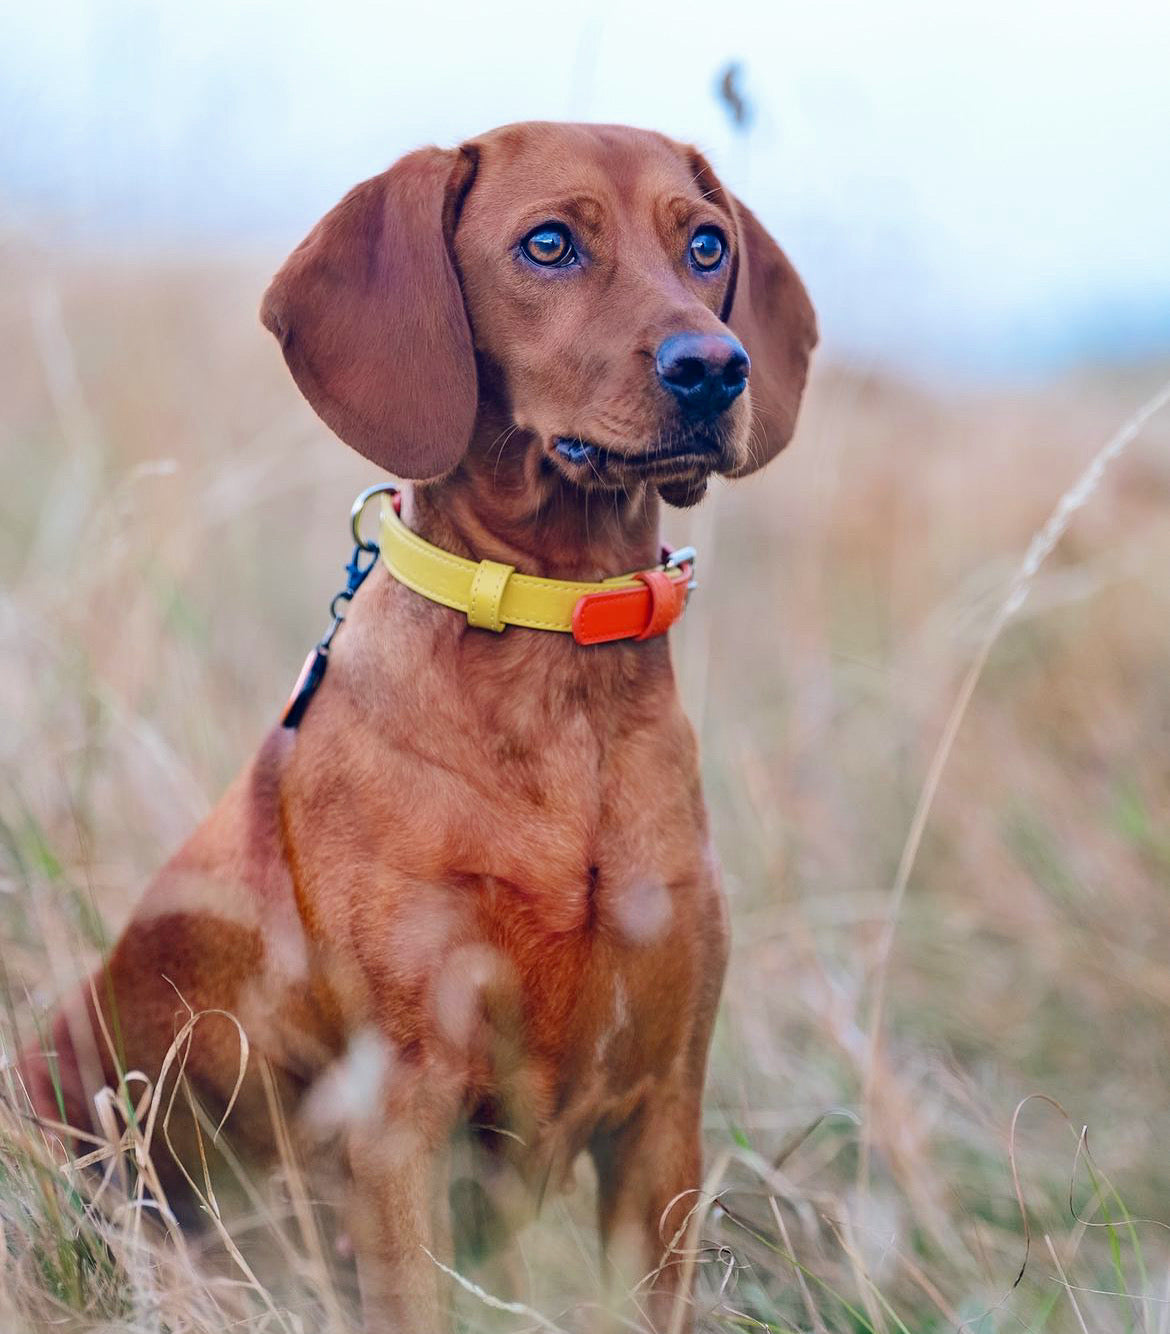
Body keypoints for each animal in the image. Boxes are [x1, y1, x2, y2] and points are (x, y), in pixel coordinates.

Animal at [16, 120, 811, 1328]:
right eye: (548, 244)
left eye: (707, 242)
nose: (716, 366)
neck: (558, 657)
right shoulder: (401, 1119)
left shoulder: (662, 1117)